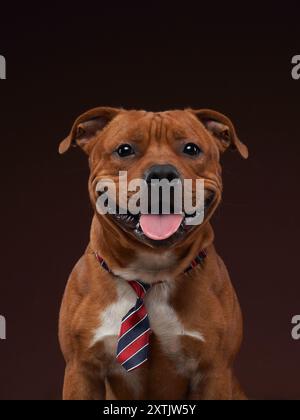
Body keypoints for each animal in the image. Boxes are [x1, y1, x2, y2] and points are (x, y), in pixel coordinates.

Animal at [58, 106, 248, 398]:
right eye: (124, 149)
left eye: (191, 149)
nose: (162, 173)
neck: (148, 275)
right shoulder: (81, 370)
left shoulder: (214, 371)